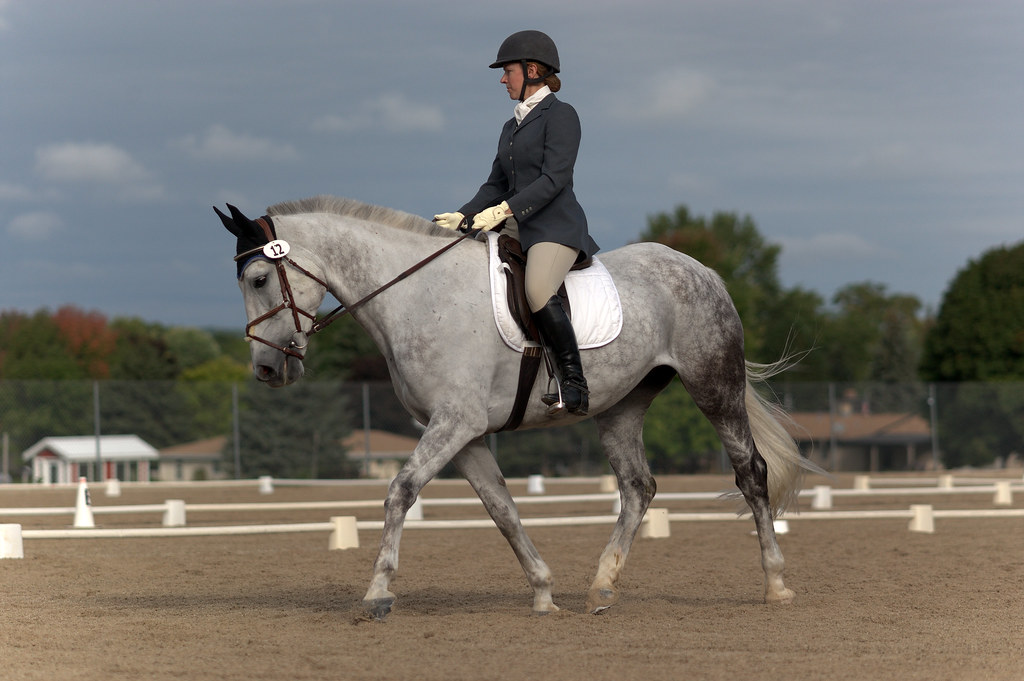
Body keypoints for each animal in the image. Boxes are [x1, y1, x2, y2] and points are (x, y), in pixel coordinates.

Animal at [215, 195, 818, 619]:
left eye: (260, 278)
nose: (267, 370)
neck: (416, 297)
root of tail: (702, 270)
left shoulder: (454, 423)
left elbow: (400, 491)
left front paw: (378, 592)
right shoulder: (466, 434)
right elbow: (502, 510)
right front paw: (544, 593)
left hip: (712, 386)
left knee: (751, 472)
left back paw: (776, 584)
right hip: (621, 405)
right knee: (637, 487)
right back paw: (601, 587)